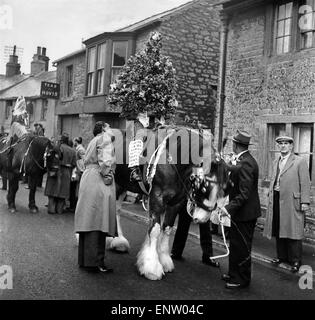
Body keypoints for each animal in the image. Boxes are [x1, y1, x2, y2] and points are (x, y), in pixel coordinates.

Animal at [113, 125, 222, 280]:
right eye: (204, 186)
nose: (203, 218)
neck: (175, 161)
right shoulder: (157, 198)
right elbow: (155, 230)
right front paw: (151, 267)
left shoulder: (174, 203)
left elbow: (167, 229)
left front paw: (163, 260)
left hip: (121, 185)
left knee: (116, 210)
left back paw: (118, 241)